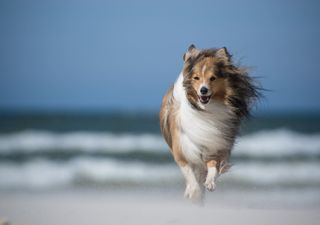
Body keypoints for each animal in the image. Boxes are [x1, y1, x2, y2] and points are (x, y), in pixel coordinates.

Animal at [159, 44, 258, 203]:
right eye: (196, 78)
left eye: (213, 78)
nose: (203, 90)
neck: (206, 111)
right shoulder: (182, 150)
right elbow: (190, 174)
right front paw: (194, 191)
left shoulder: (215, 145)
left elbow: (213, 167)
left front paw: (210, 182)